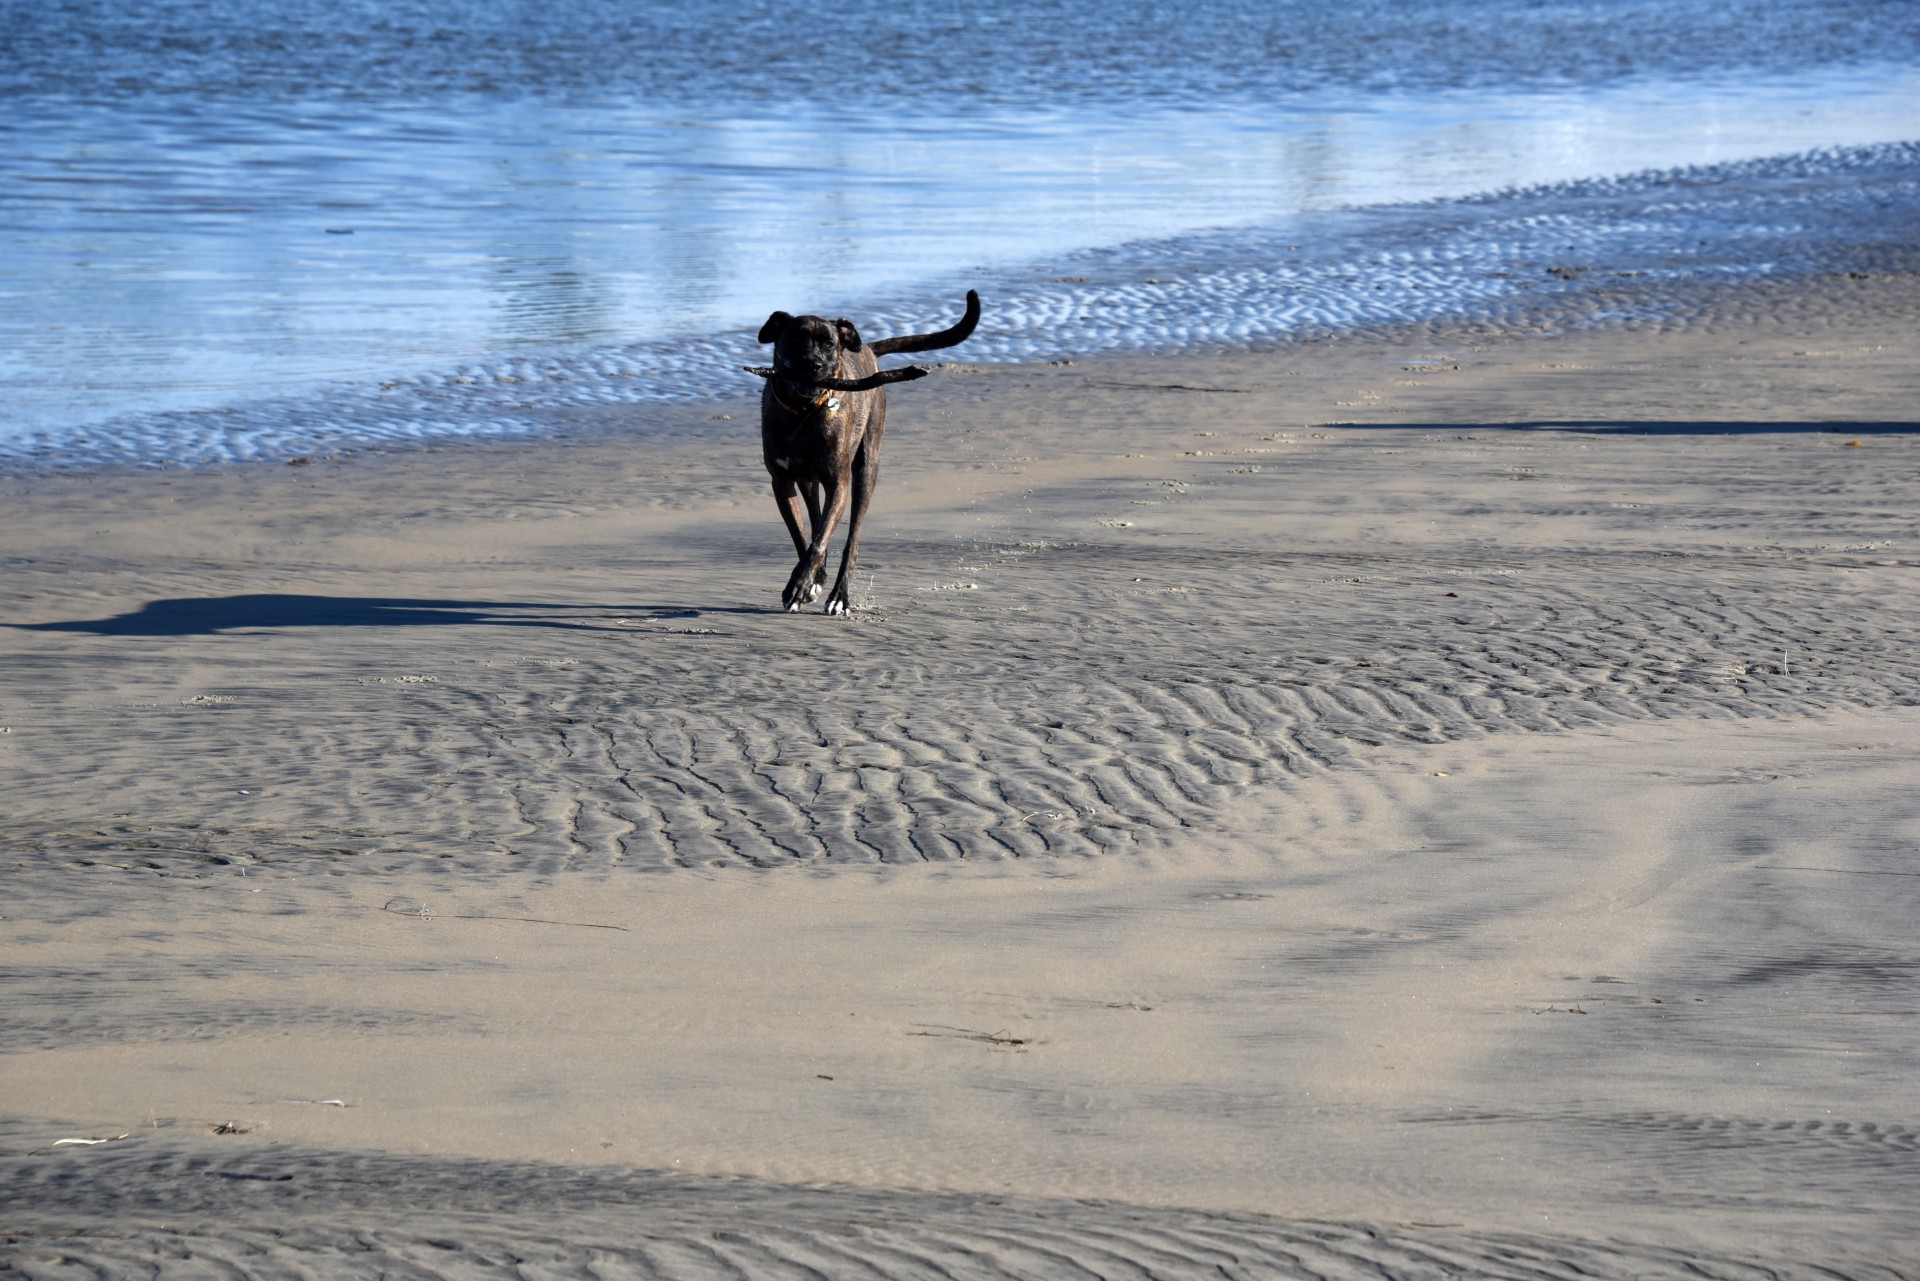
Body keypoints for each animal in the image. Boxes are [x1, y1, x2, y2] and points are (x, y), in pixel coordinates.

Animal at [752, 293, 983, 614]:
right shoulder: (782, 482)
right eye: (795, 339)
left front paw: (799, 586)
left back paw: (839, 595)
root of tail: (868, 351)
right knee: (816, 517)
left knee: (852, 538)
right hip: (810, 481)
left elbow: (820, 539)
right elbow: (803, 535)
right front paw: (805, 582)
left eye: (829, 344)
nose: (814, 365)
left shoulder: (838, 484)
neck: (803, 412)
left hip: (866, 470)